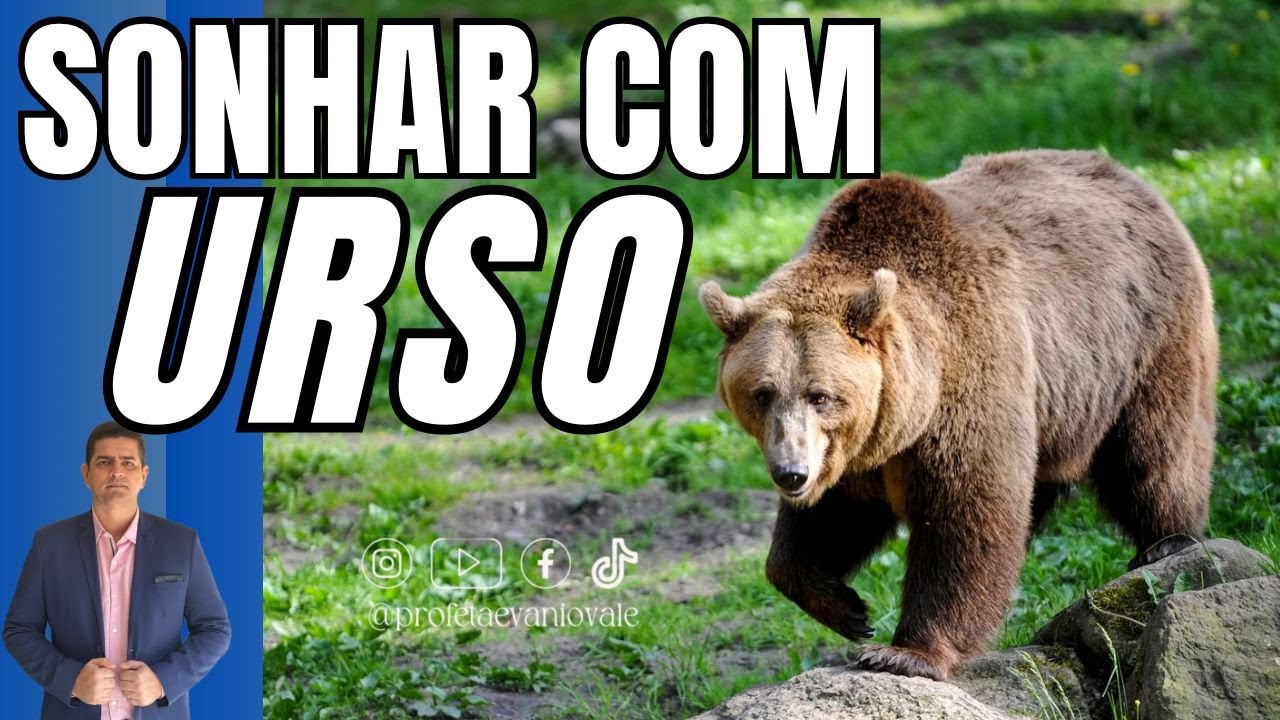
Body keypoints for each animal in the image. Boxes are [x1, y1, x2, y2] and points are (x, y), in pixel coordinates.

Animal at [698, 149, 1217, 681]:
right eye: (762, 394)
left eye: (820, 395)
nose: (791, 473)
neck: (909, 406)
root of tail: (1130, 177)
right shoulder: (854, 449)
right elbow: (827, 522)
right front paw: (847, 608)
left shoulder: (967, 377)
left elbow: (966, 512)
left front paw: (904, 651)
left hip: (1142, 339)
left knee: (1152, 452)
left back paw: (1168, 541)